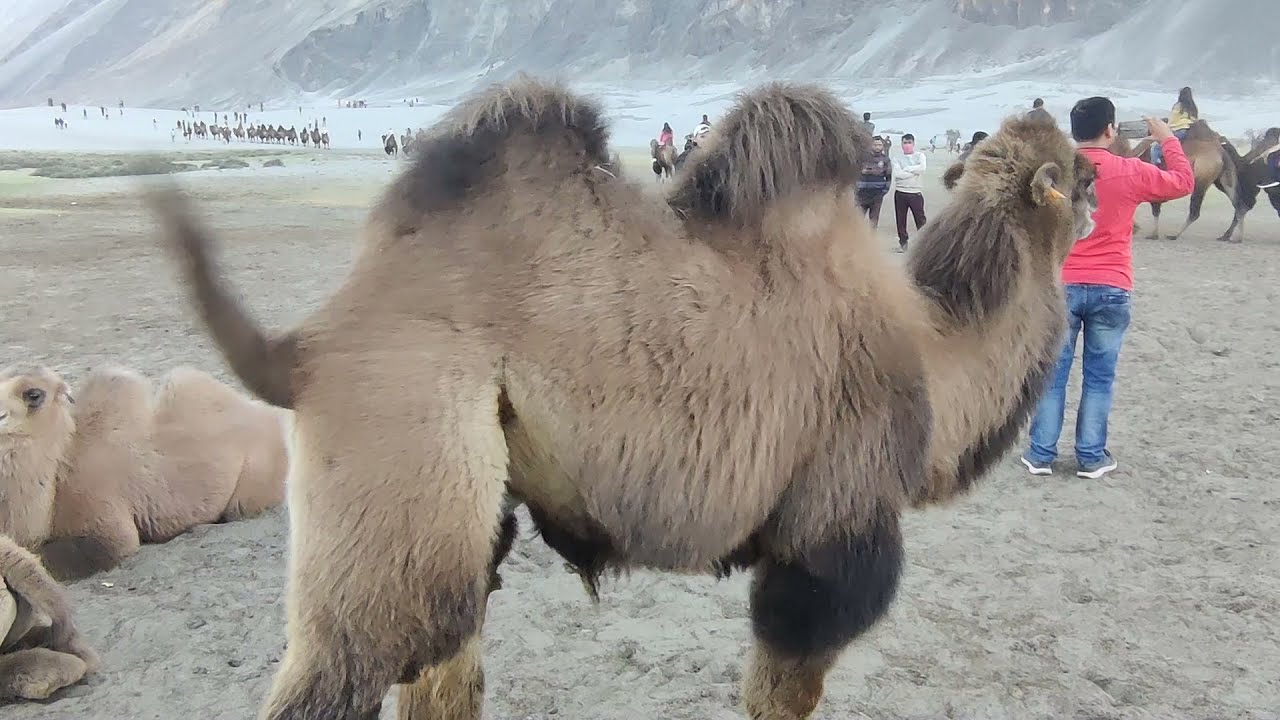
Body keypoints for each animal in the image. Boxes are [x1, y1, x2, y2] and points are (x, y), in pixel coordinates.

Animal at [147, 77, 1096, 720]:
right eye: (1078, 173)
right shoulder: (834, 525)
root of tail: (310, 342)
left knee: (445, 653)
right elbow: (783, 682)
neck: (933, 354)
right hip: (399, 441)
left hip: (459, 499)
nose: (1099, 191)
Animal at [1108, 120, 1241, 241]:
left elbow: (1153, 210)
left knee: (1195, 212)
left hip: (1202, 179)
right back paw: (1229, 236)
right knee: (1238, 204)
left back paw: (1174, 235)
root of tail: (1221, 153)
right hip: (1222, 180)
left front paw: (1151, 234)